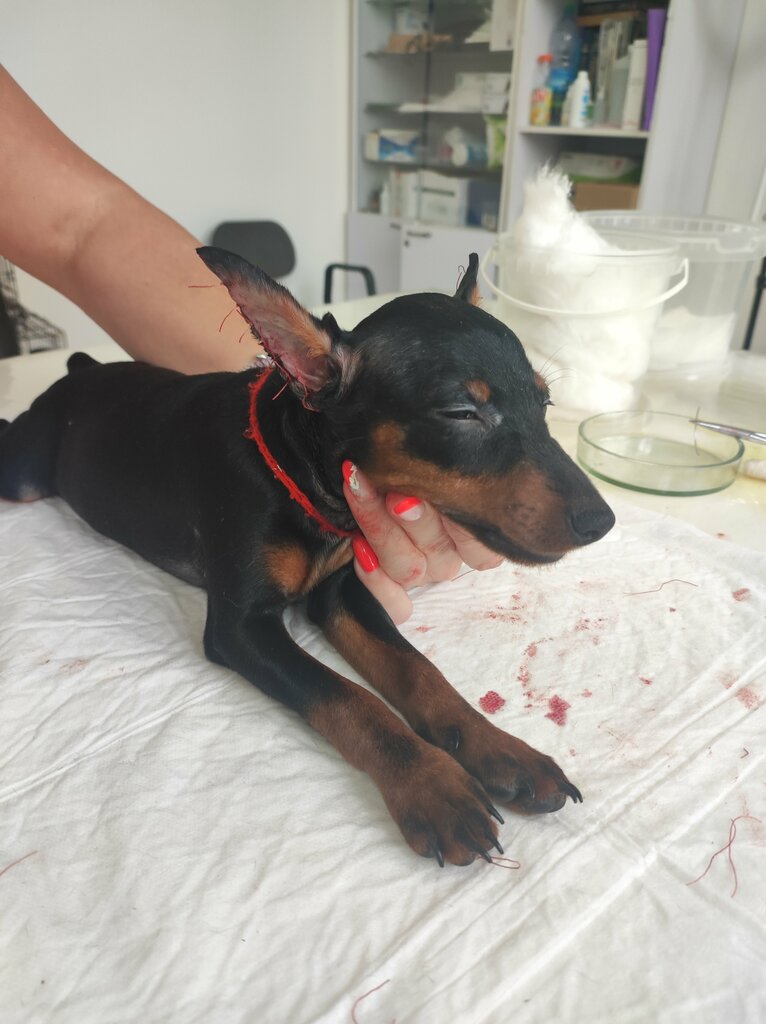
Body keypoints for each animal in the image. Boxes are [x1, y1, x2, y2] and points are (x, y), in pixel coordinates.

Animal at [0, 249, 614, 866]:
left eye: (545, 403)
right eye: (461, 413)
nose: (601, 522)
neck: (302, 477)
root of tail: (77, 373)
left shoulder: (340, 594)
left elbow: (419, 671)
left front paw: (500, 751)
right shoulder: (241, 628)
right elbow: (346, 697)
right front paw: (433, 786)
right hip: (23, 473)